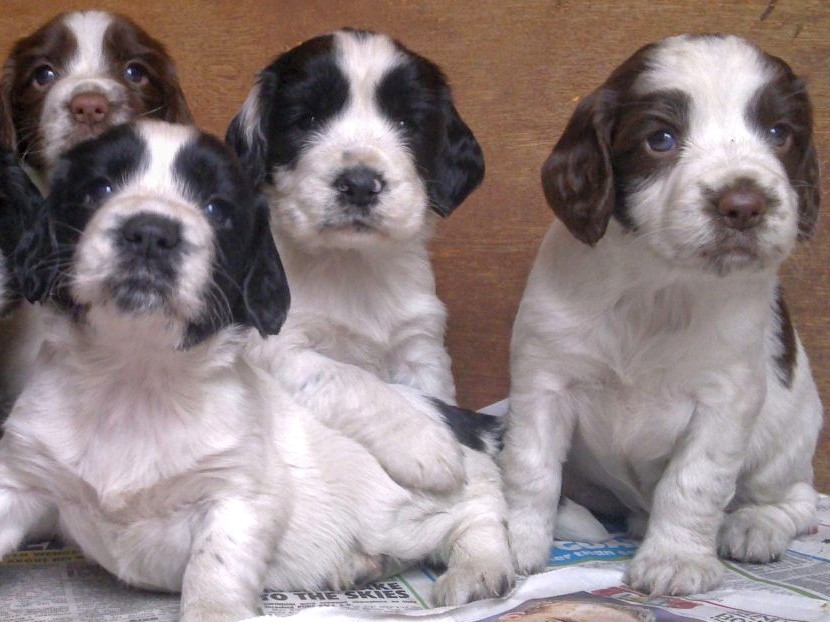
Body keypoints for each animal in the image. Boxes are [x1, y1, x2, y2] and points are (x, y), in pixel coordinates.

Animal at [0, 119, 512, 620]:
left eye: (216, 208)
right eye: (99, 188)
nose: (150, 232)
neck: (134, 374)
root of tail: (452, 414)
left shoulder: (238, 495)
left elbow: (214, 572)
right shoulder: (21, 474)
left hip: (416, 510)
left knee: (481, 513)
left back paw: (478, 568)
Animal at [224, 30, 490, 498]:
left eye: (407, 124)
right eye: (307, 119)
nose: (361, 184)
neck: (351, 264)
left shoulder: (418, 348)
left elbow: (436, 397)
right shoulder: (277, 346)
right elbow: (347, 378)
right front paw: (423, 442)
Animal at [500, 35, 824, 600]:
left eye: (780, 133)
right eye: (661, 139)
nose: (744, 204)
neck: (656, 286)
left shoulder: (726, 400)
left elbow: (693, 482)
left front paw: (675, 559)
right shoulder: (545, 378)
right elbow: (531, 467)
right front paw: (516, 541)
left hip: (786, 440)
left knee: (799, 499)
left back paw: (755, 526)